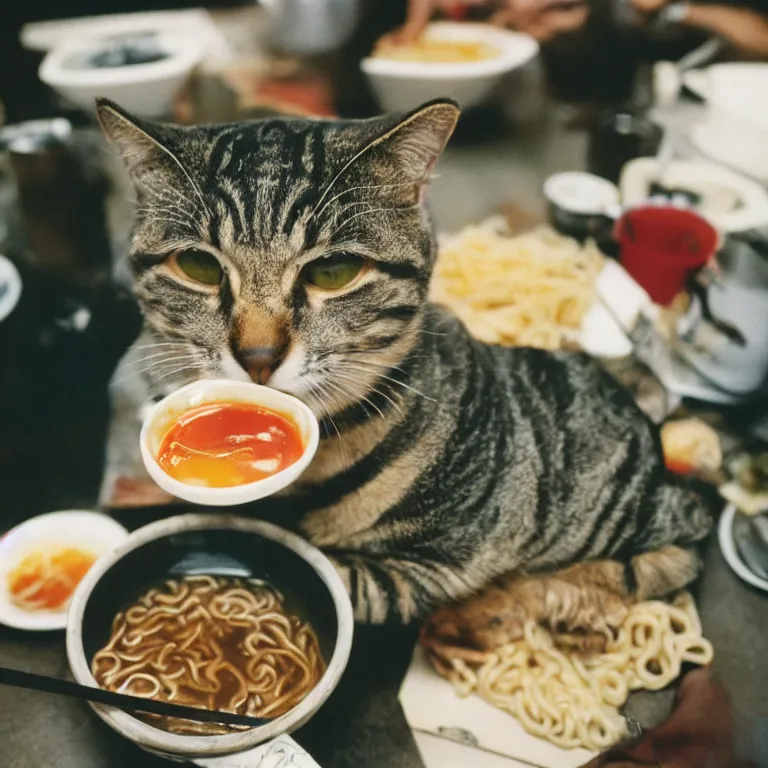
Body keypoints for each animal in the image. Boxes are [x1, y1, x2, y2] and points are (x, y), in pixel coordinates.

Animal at [99, 97, 712, 648]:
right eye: (198, 266)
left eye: (333, 271)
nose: (257, 355)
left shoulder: (444, 561)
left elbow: (340, 577)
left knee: (676, 548)